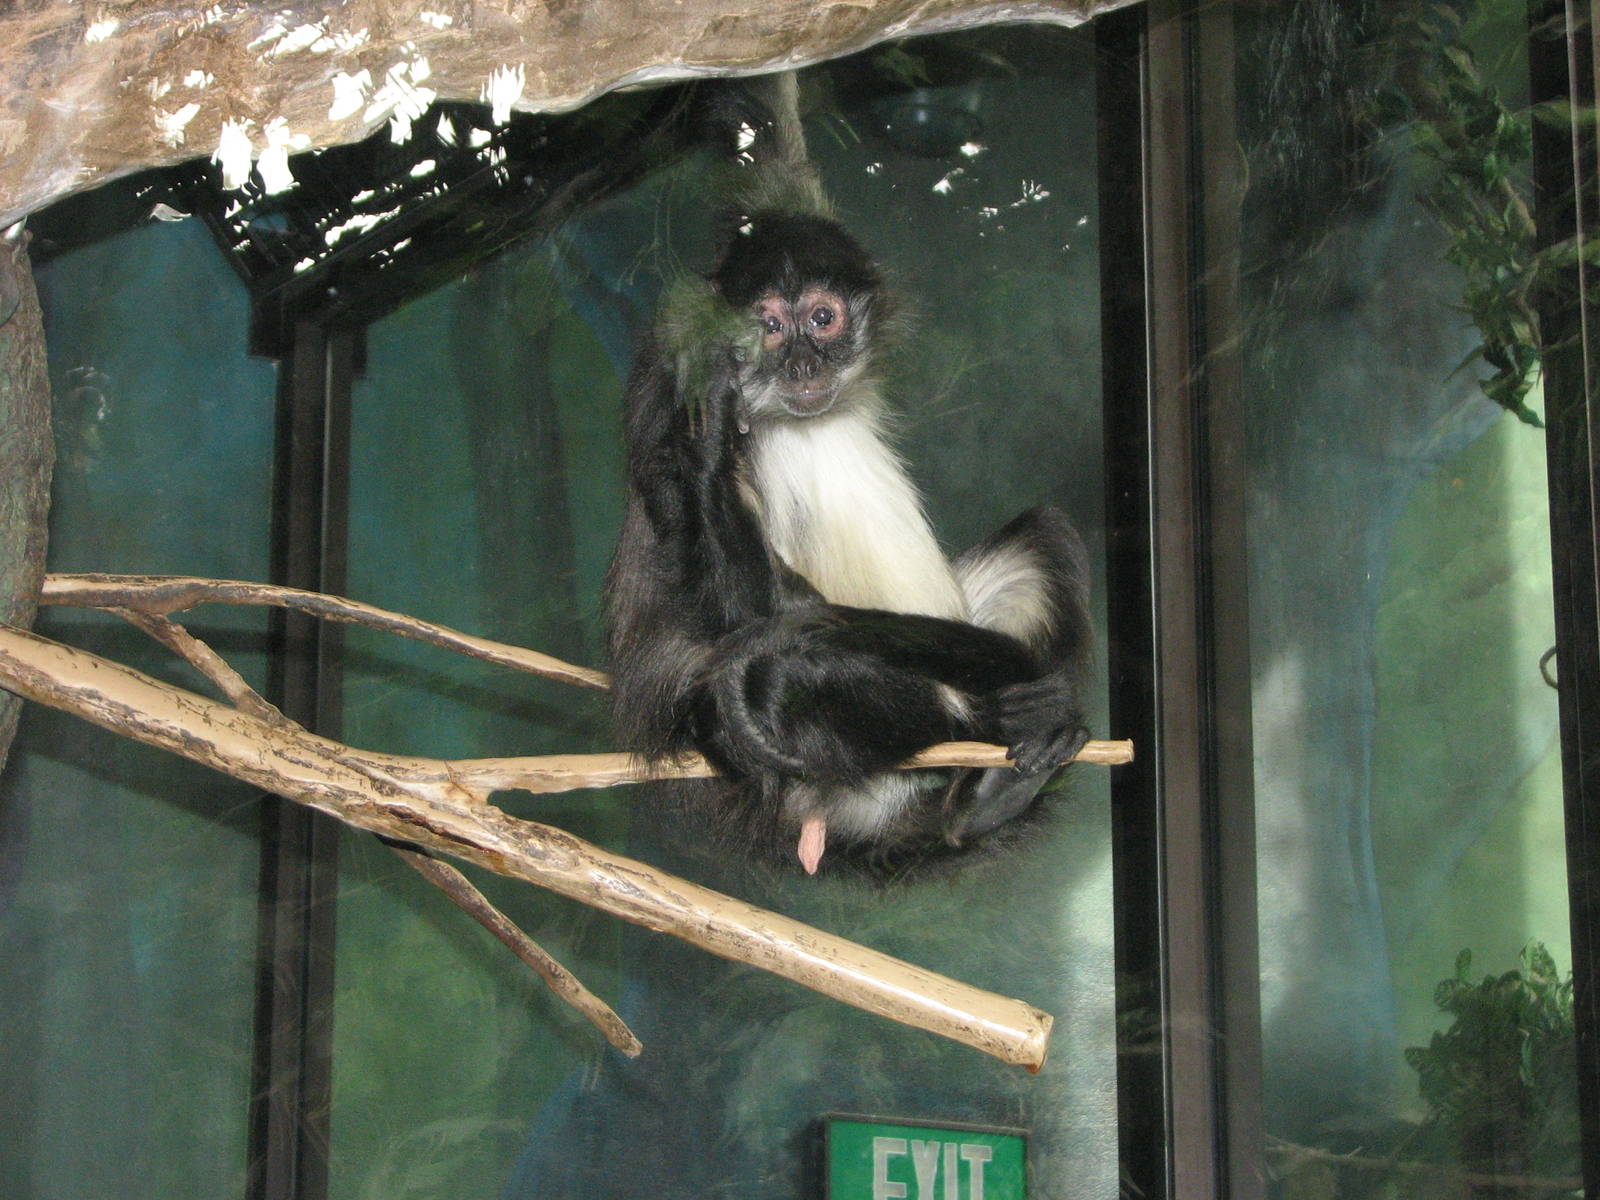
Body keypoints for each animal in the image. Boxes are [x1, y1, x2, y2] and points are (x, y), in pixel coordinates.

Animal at [602, 173, 1092, 875]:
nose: (803, 366)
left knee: (1045, 533)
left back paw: (991, 789)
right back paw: (990, 737)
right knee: (776, 680)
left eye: (822, 318)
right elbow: (758, 619)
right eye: (771, 327)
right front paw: (709, 435)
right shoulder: (668, 384)